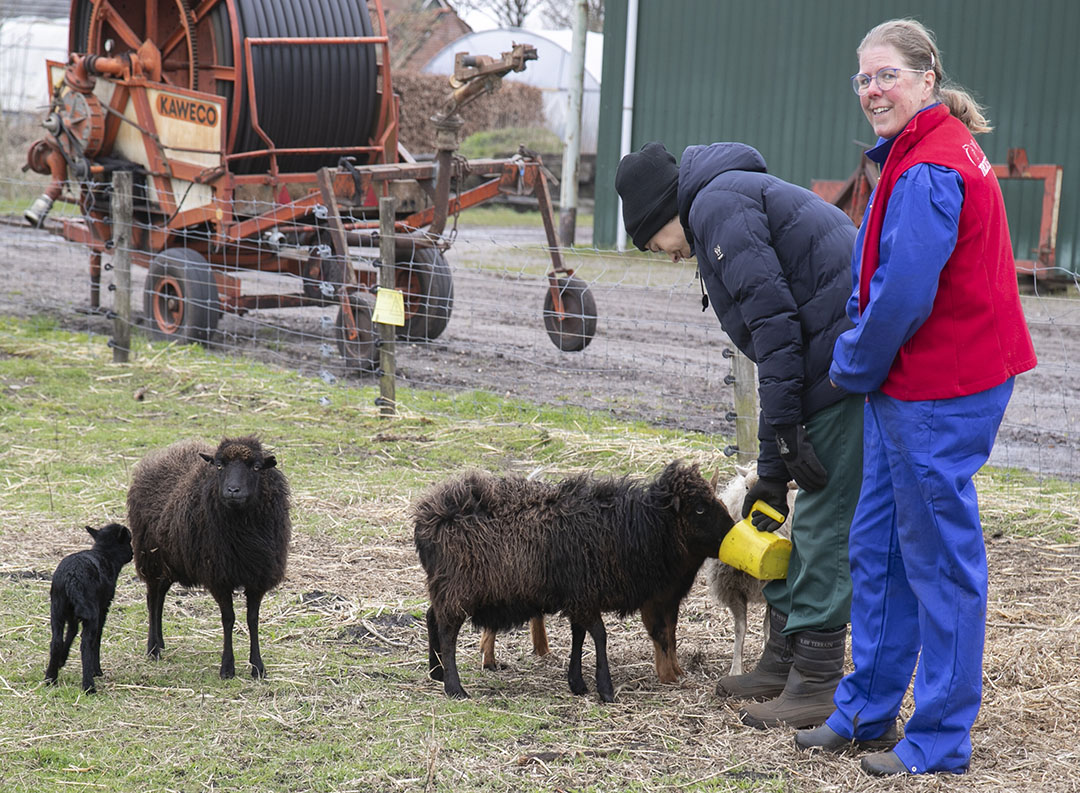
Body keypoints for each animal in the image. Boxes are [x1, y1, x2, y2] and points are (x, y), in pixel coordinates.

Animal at [125, 438, 291, 678]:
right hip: (150, 557)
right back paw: (153, 649)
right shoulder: (218, 578)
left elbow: (252, 619)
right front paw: (227, 668)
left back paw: (161, 644)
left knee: (161, 597)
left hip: (171, 561)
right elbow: (228, 619)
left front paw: (258, 668)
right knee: (152, 599)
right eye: (219, 466)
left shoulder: (258, 577)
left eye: (256, 467)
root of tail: (164, 453)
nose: (233, 490)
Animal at [412, 462, 734, 704]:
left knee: (431, 616)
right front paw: (605, 689)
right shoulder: (585, 594)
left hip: (446, 585)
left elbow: (579, 635)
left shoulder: (581, 595)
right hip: (458, 587)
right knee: (447, 629)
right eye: (700, 509)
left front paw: (577, 682)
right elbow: (600, 635)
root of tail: (426, 519)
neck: (634, 527)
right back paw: (454, 687)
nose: (732, 532)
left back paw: (436, 672)